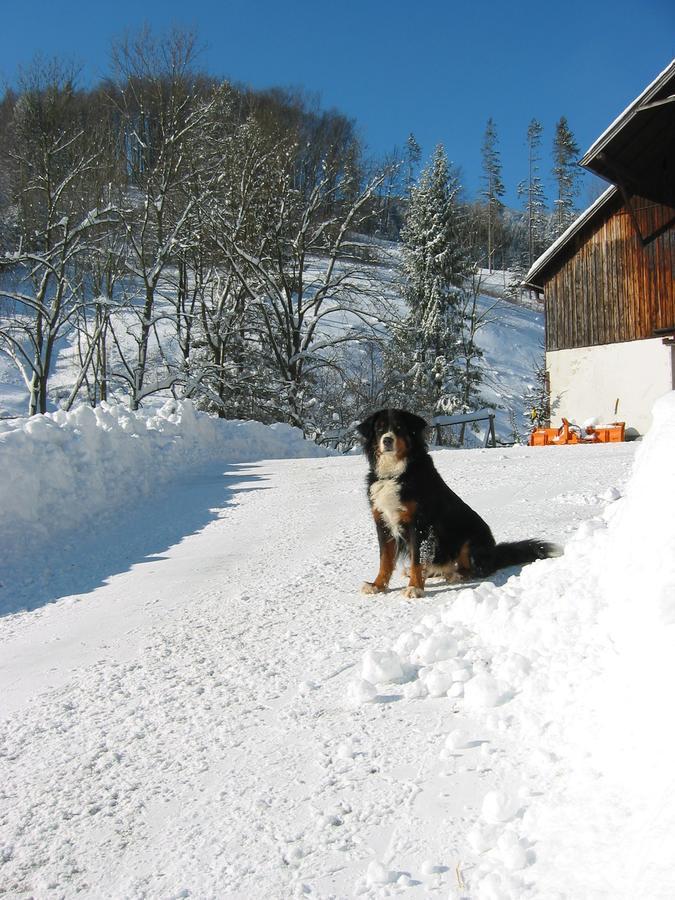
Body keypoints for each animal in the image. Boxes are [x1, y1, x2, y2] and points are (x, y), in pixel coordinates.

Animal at [356, 408, 564, 596]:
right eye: (380, 429)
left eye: (399, 428)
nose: (387, 440)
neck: (395, 474)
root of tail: (494, 552)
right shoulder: (383, 523)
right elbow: (385, 560)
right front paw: (377, 585)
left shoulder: (421, 524)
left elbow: (418, 560)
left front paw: (415, 588)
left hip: (469, 541)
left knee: (474, 569)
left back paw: (455, 575)